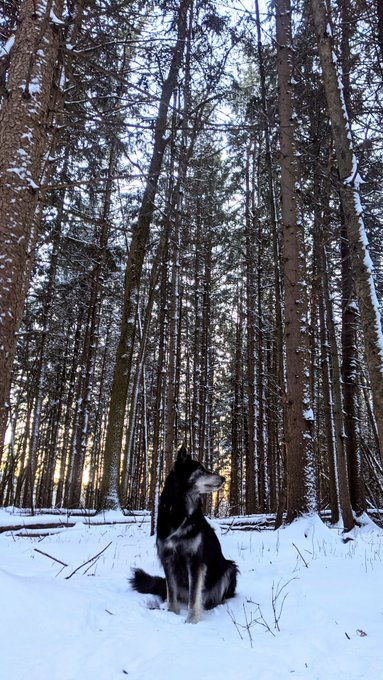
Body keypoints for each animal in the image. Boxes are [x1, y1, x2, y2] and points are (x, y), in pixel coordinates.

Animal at [130, 444, 238, 624]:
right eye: (200, 469)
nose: (223, 478)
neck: (179, 510)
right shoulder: (168, 559)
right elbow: (172, 593)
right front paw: (172, 613)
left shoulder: (195, 562)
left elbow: (194, 597)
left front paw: (191, 621)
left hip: (229, 567)